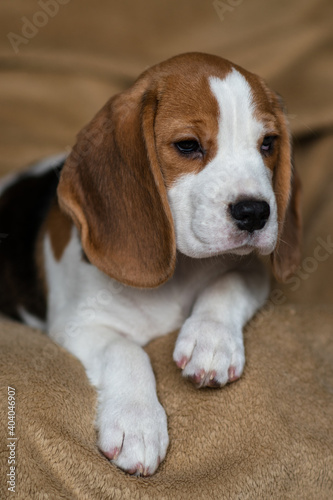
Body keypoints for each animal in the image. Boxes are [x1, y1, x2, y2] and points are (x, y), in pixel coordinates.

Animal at [0, 53, 300, 476]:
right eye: (188, 145)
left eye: (268, 143)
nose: (255, 212)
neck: (180, 270)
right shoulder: (76, 325)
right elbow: (127, 350)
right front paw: (136, 422)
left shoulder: (253, 271)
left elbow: (227, 284)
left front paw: (211, 340)